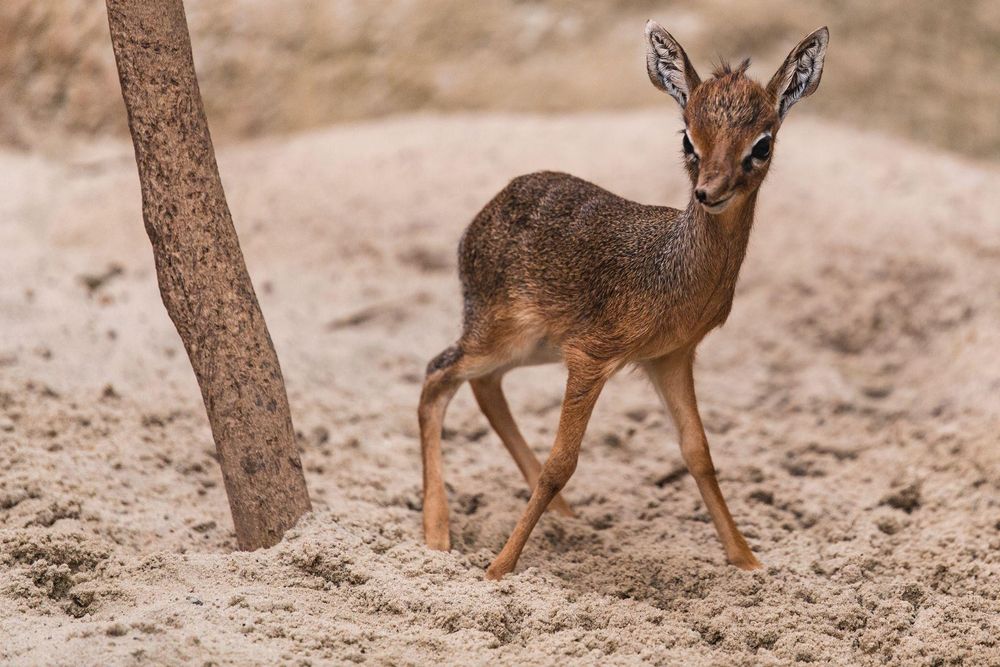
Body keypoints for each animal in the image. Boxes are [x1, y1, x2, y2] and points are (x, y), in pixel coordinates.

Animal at [418, 21, 829, 579]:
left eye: (761, 144)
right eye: (688, 137)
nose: (709, 191)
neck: (673, 274)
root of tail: (484, 215)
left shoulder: (670, 357)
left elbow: (699, 453)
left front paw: (747, 561)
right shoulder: (591, 356)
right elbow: (561, 463)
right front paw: (498, 569)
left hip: (531, 347)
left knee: (482, 386)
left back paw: (566, 517)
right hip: (498, 333)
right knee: (437, 374)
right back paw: (438, 535)